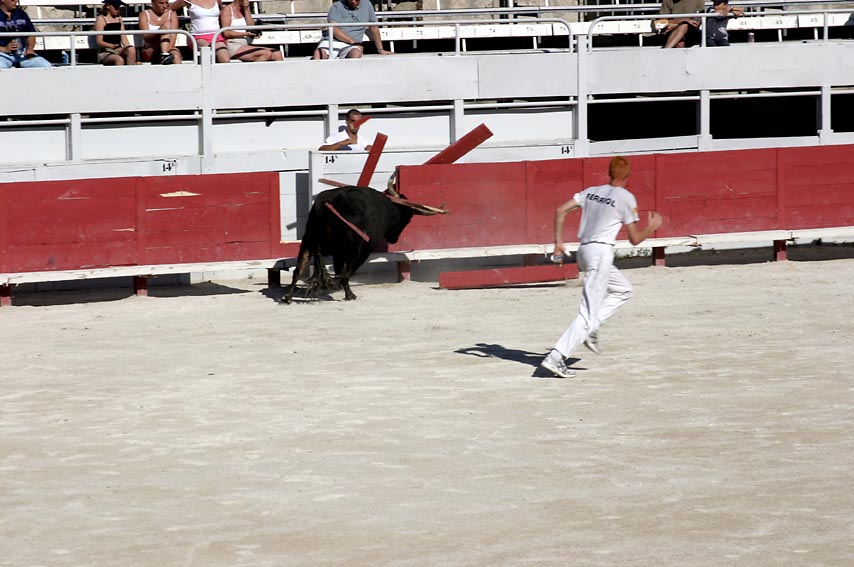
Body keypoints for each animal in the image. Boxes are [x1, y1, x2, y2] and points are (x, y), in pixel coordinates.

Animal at [284, 186, 434, 304]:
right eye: (408, 219)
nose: (394, 239)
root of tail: (328, 205)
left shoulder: (338, 253)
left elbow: (339, 270)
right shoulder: (362, 250)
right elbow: (346, 271)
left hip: (308, 242)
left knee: (298, 269)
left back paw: (288, 297)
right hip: (351, 249)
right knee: (345, 272)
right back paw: (350, 295)